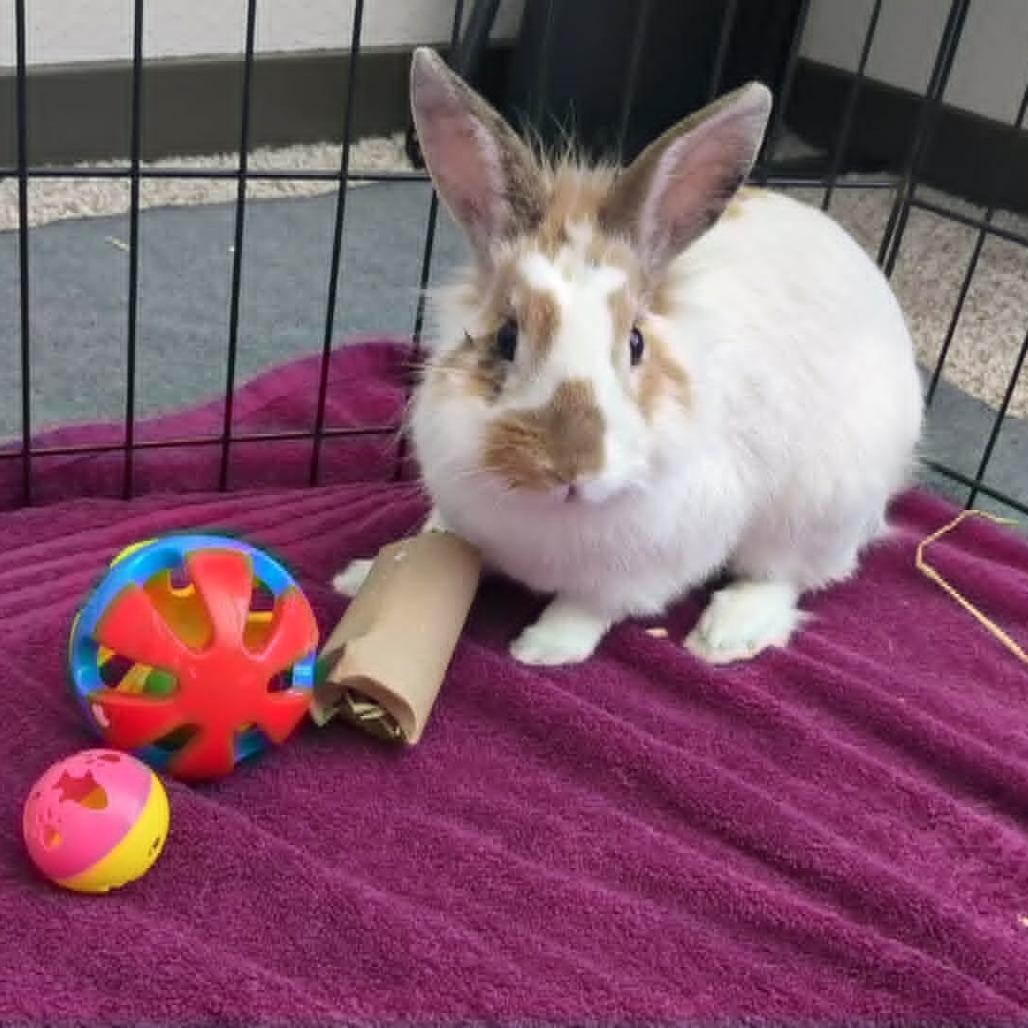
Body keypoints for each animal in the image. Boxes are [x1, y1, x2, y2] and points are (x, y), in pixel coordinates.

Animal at [334, 47, 923, 668]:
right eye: (505, 338)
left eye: (636, 342)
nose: (570, 466)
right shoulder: (458, 515)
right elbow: (428, 541)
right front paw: (359, 576)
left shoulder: (644, 566)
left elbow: (591, 606)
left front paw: (542, 648)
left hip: (819, 508)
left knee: (790, 576)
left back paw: (727, 633)